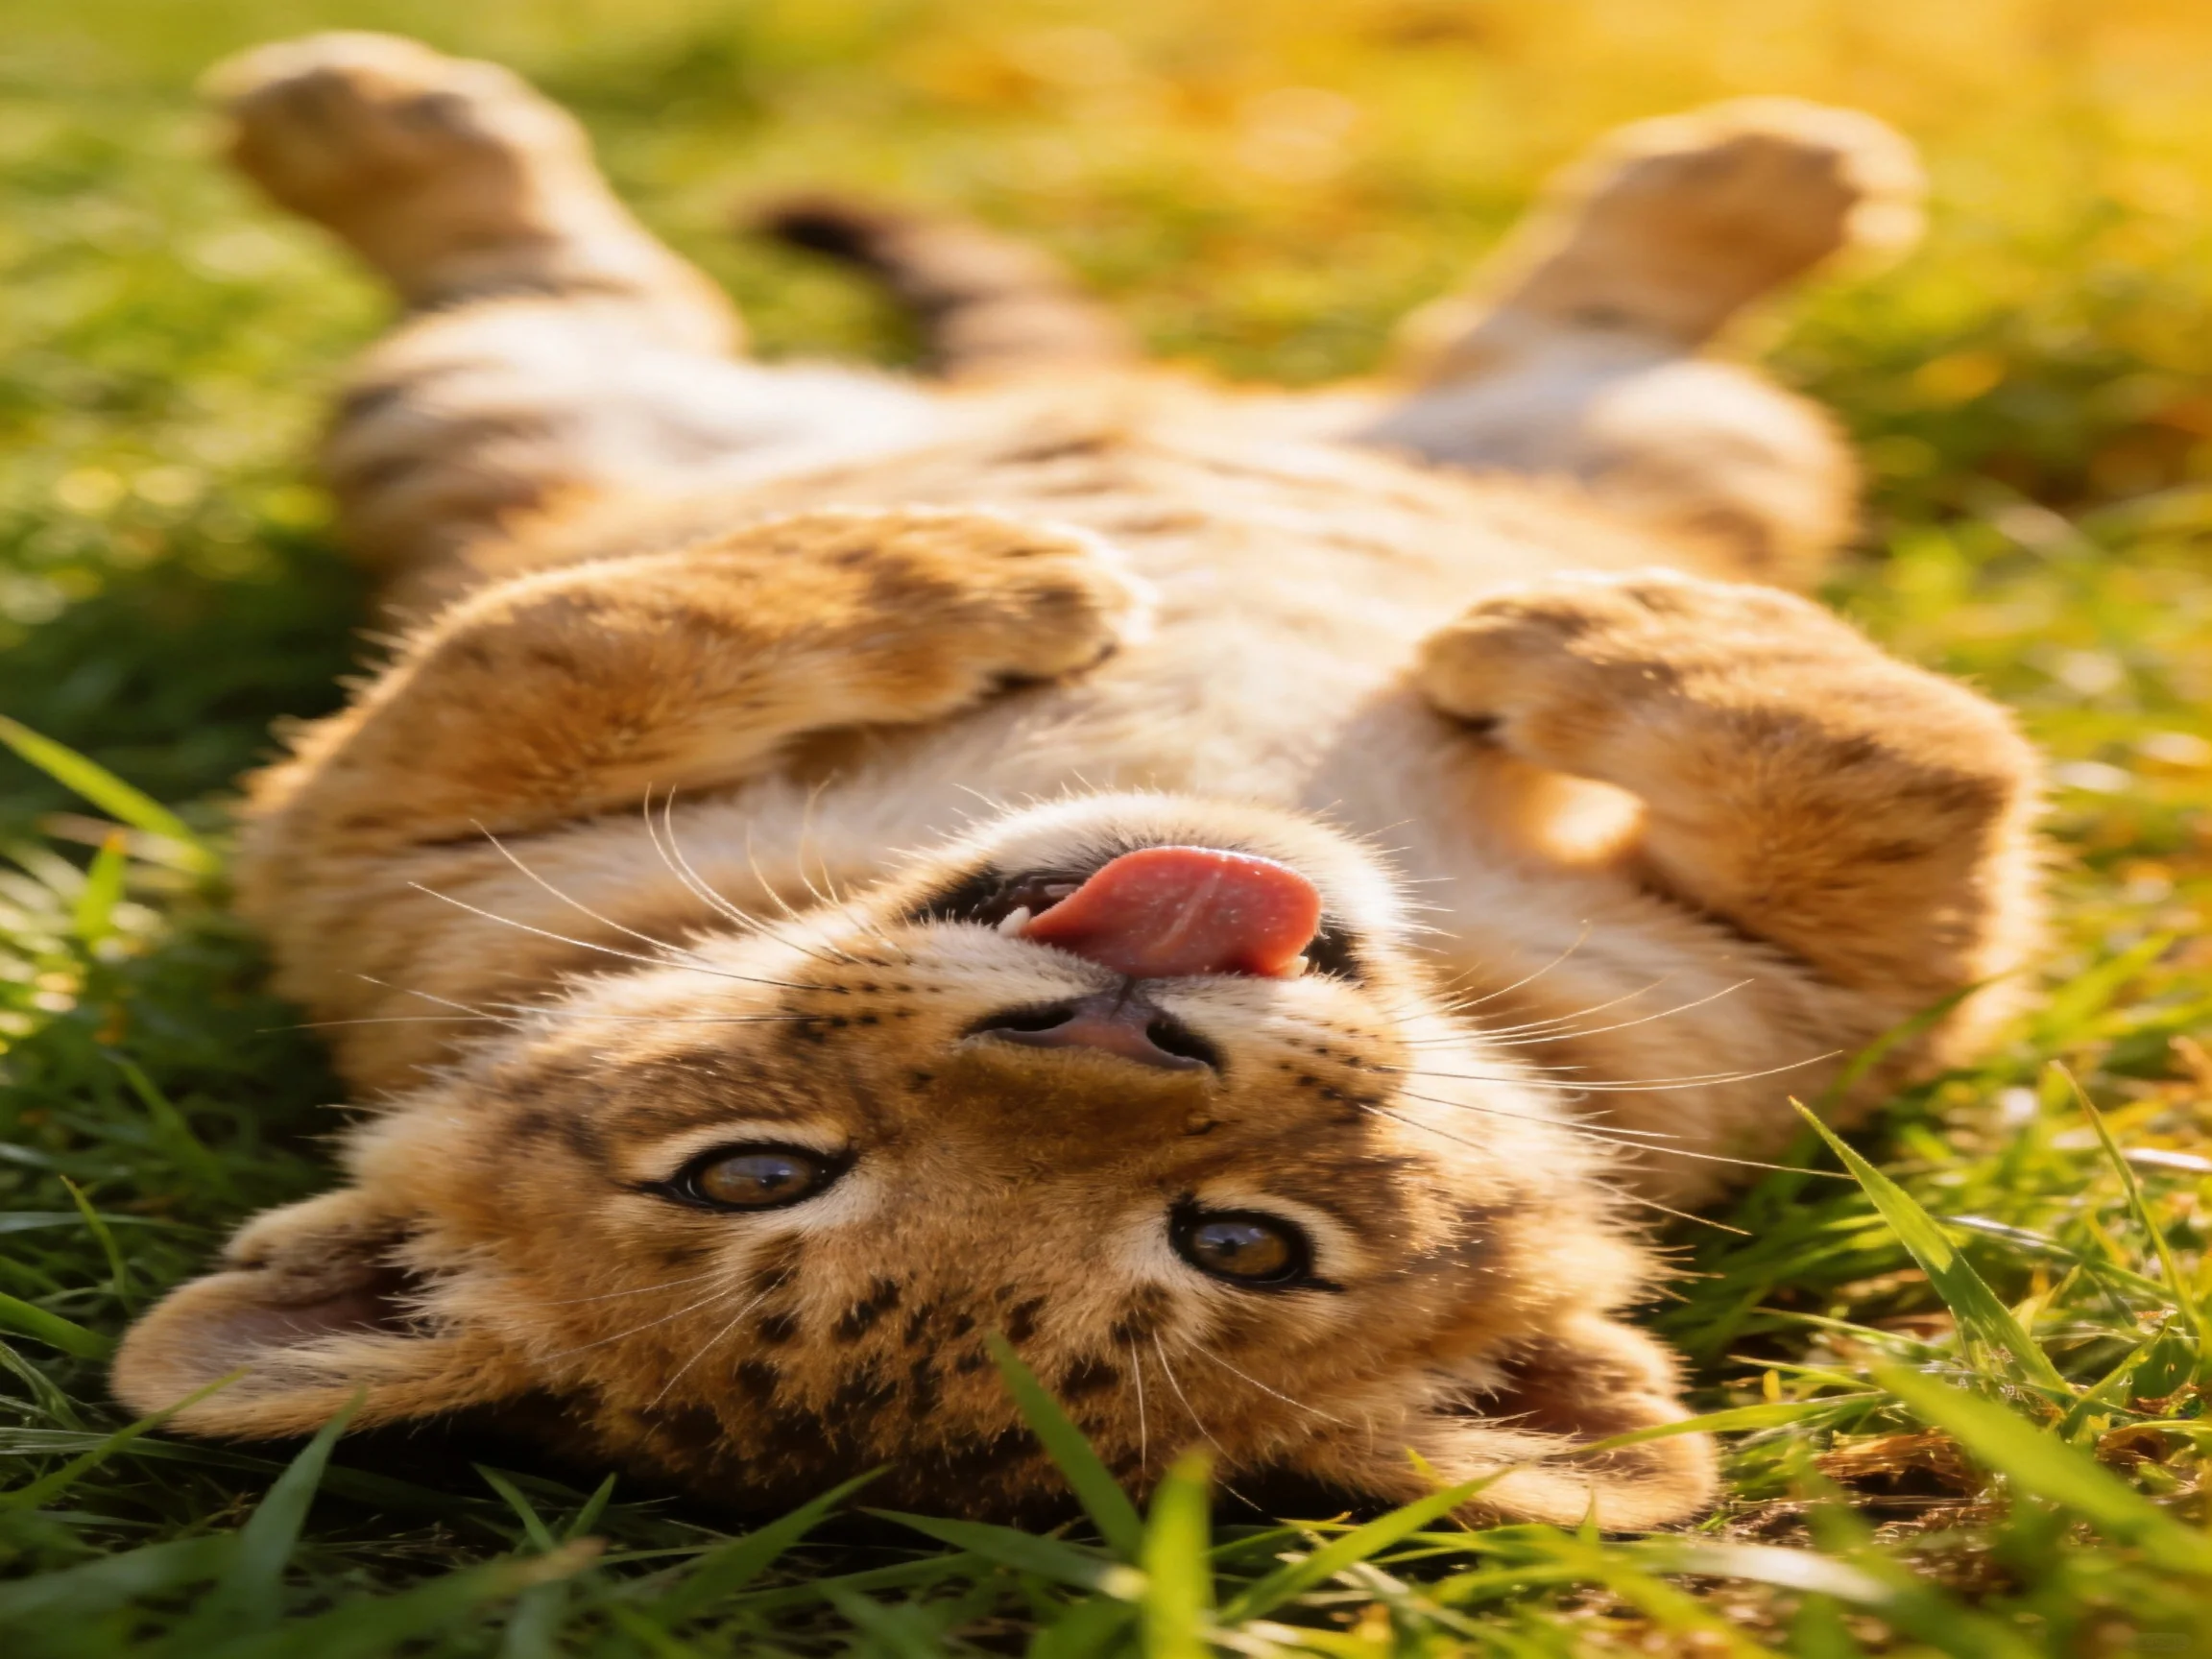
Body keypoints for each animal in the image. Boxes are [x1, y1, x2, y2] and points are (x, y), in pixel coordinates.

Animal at [112, 33, 2040, 1533]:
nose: (1122, 1025)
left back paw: (1764, 167)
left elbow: (1893, 765)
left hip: (1657, 443)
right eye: (750, 1178)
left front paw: (1519, 625)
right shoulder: (352, 850)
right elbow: (545, 642)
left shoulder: (1822, 1001)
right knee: (528, 299)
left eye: (1245, 1245)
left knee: (1594, 321)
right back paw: (352, 107)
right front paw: (1006, 577)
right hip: (489, 415)